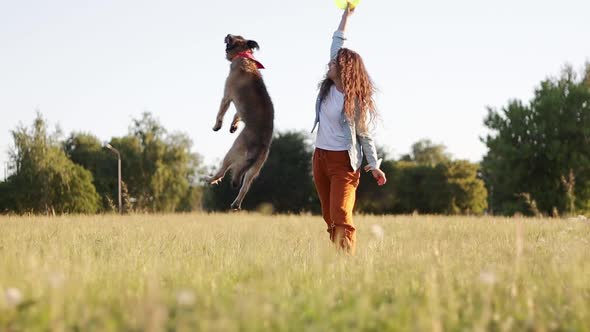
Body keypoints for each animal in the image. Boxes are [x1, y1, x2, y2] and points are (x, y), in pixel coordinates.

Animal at [208, 33, 276, 210]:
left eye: (232, 38)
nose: (227, 34)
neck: (244, 56)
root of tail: (260, 145)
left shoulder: (227, 96)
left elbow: (221, 112)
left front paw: (217, 125)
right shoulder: (238, 107)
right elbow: (236, 115)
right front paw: (233, 126)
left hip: (233, 151)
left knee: (223, 170)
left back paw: (210, 179)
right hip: (254, 170)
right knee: (244, 187)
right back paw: (236, 204)